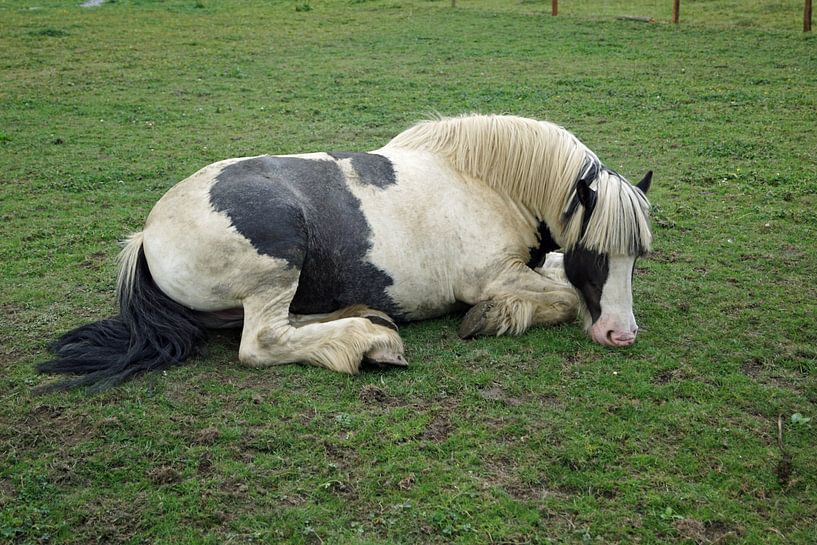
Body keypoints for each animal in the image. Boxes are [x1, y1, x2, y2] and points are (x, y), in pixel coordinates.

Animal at [36, 113, 652, 392]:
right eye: (597, 253)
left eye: (637, 258)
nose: (621, 334)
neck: (486, 184)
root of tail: (147, 235)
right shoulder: (493, 276)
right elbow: (566, 298)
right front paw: (496, 316)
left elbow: (559, 281)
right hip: (279, 256)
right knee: (261, 341)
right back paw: (367, 340)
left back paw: (362, 319)